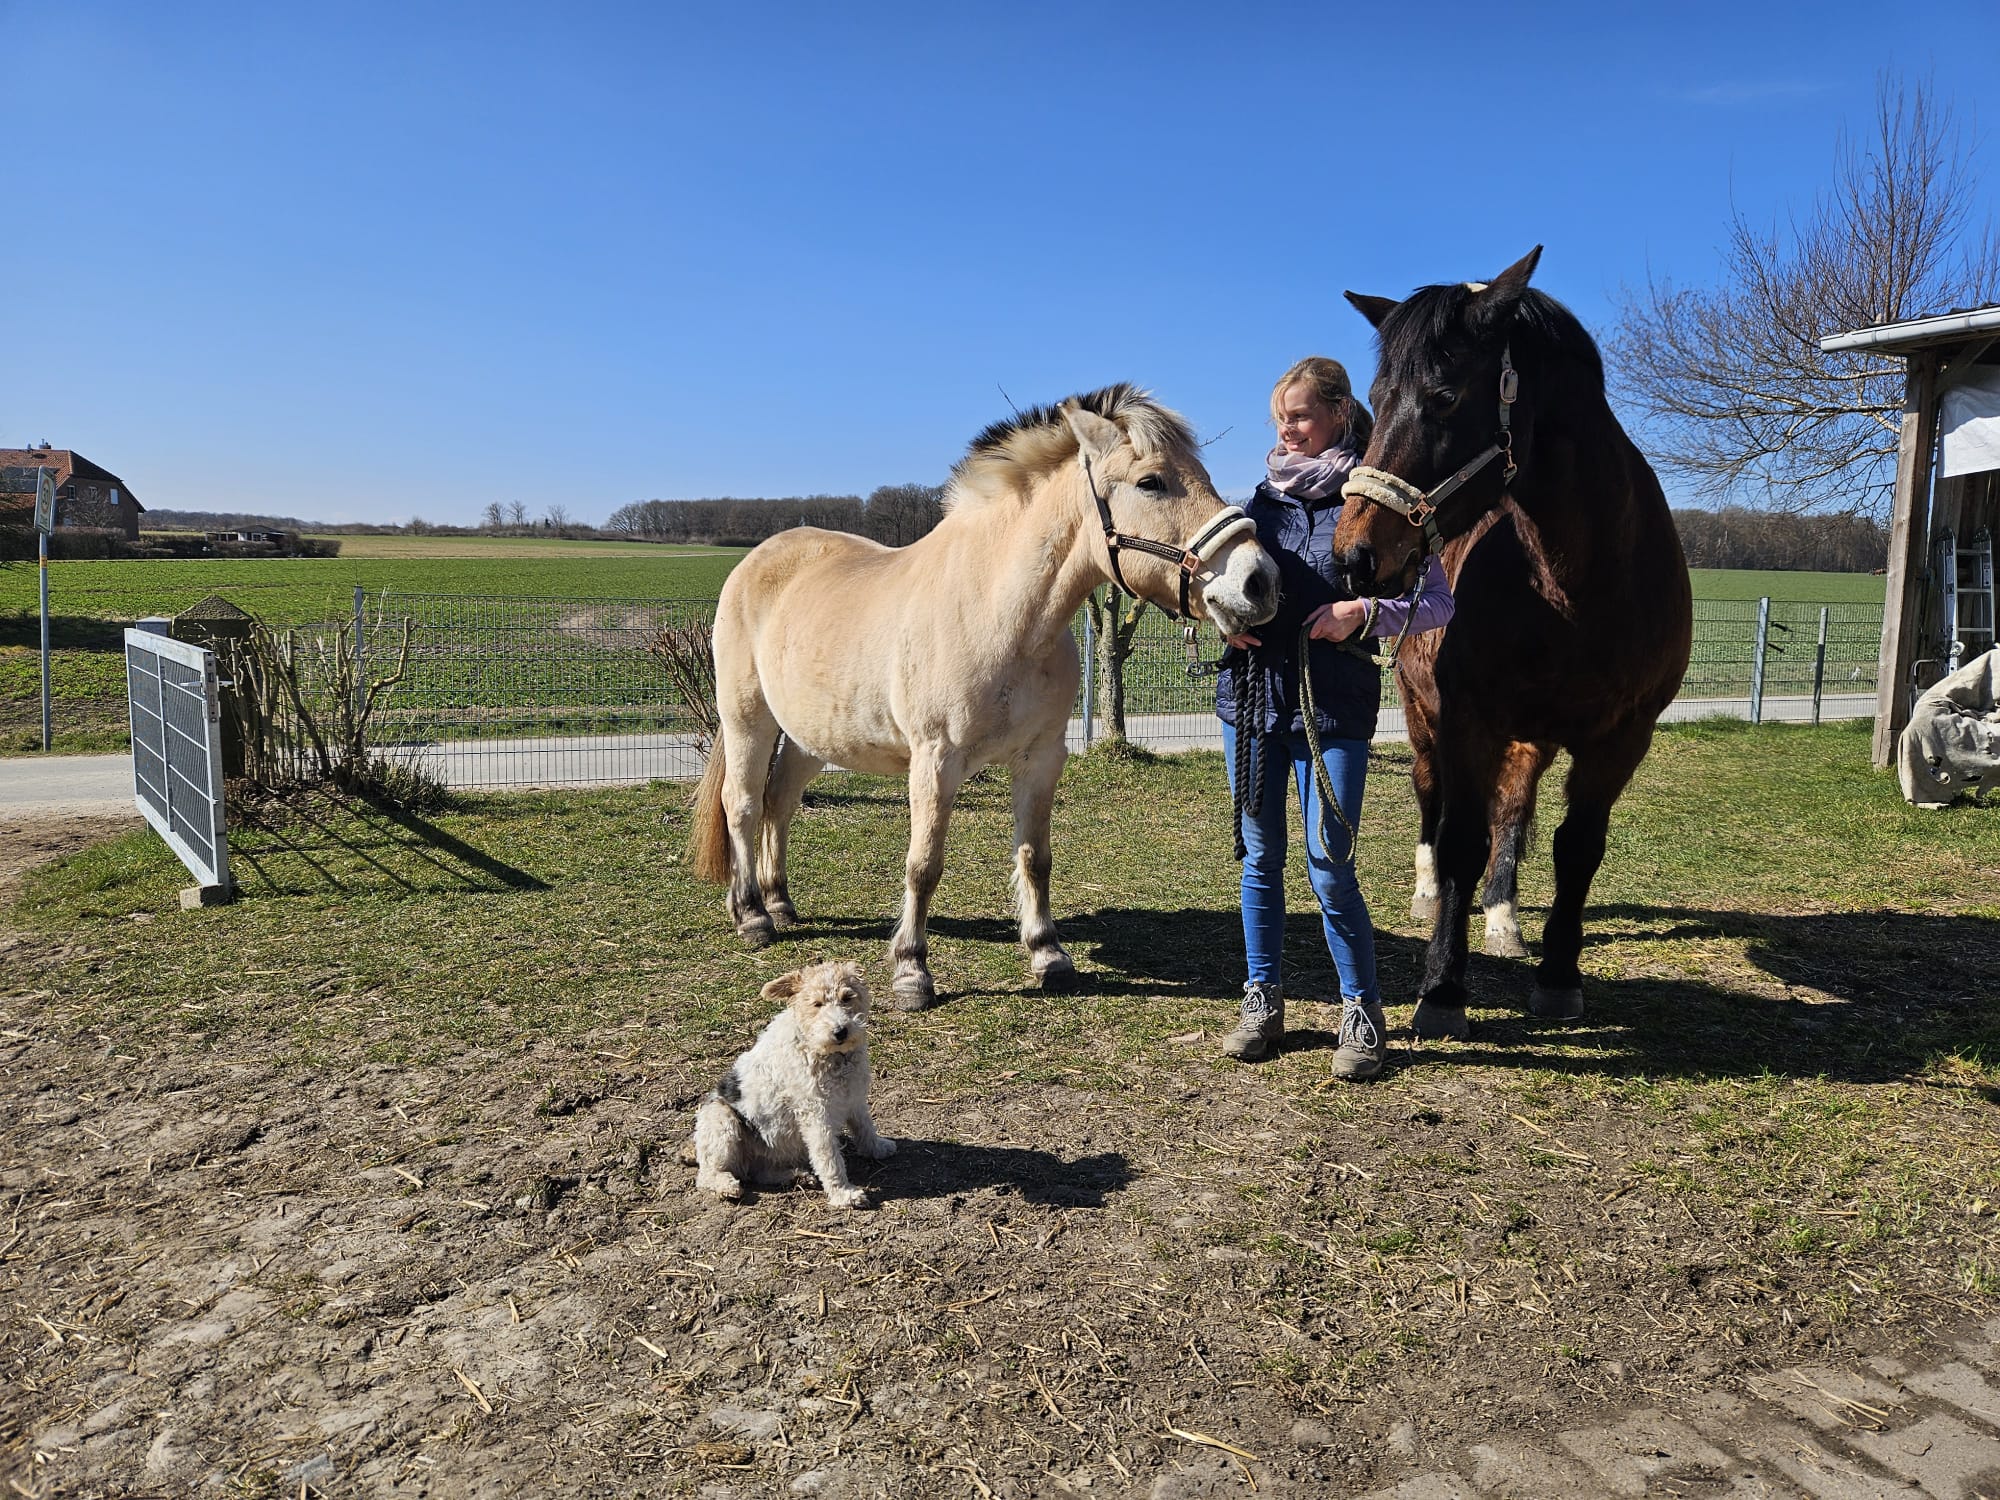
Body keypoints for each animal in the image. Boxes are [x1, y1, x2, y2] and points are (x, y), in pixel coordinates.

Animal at [683, 960, 894, 1209]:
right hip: (721, 1120)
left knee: (760, 1173)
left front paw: (878, 1147)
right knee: (708, 1175)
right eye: (817, 1004)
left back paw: (796, 1176)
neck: (831, 1055)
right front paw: (844, 1194)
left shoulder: (854, 1098)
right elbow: (829, 1158)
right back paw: (728, 1187)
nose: (840, 1031)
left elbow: (865, 1128)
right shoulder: (815, 1114)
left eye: (847, 997)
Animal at [689, 385, 1280, 1010]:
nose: (1260, 581)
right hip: (748, 719)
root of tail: (758, 558)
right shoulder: (935, 761)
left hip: (809, 736)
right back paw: (753, 915)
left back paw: (779, 901)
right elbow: (923, 865)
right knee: (742, 803)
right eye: (1151, 482)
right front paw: (912, 971)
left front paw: (1048, 954)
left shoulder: (1042, 758)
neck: (999, 612)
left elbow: (1035, 857)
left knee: (779, 802)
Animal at [1331, 247, 1693, 1039]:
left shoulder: (1622, 737)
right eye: (1376, 395)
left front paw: (1558, 975)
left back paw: (1502, 913)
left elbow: (1574, 848)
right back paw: (1433, 892)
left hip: (1533, 735)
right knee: (1434, 803)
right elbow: (1461, 839)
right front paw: (1442, 987)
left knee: (1512, 812)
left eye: (1442, 397)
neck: (1573, 584)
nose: (1354, 556)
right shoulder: (1466, 719)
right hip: (1424, 720)